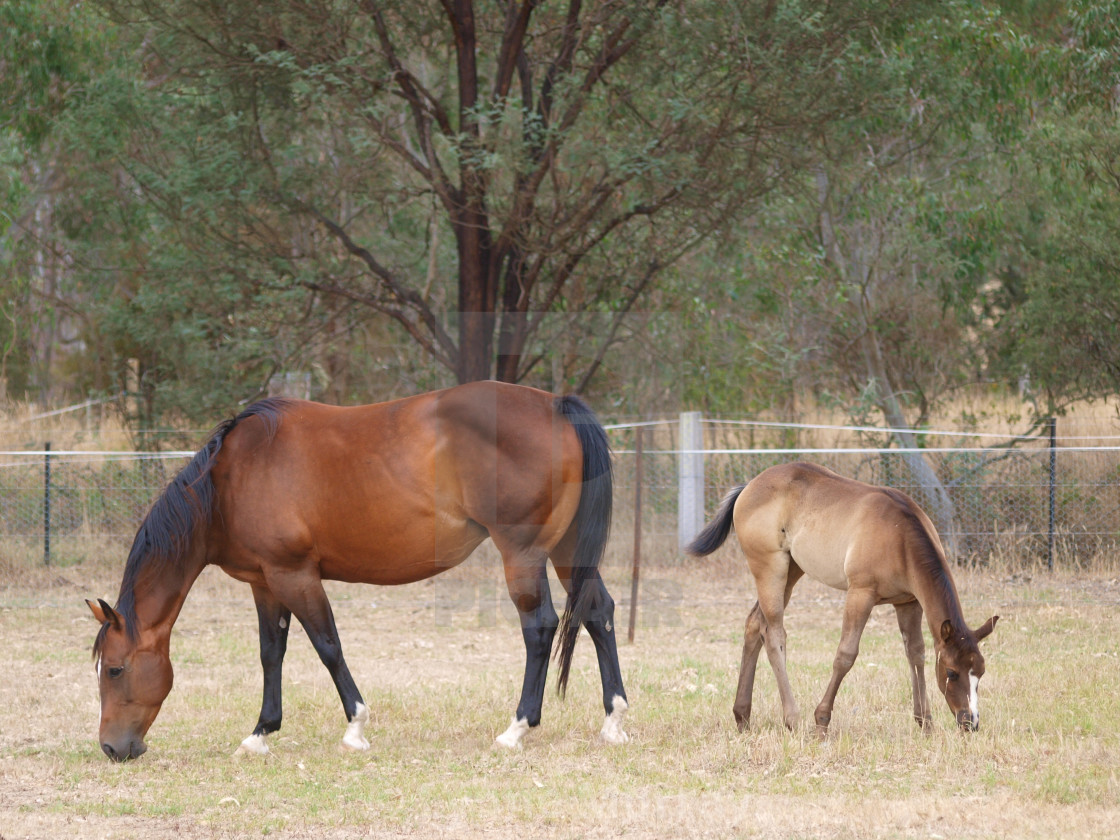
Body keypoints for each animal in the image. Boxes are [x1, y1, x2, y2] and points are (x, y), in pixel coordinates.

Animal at [85, 380, 631, 761]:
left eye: (114, 669)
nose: (112, 748)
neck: (229, 480)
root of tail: (556, 404)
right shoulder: (266, 583)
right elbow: (271, 654)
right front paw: (260, 733)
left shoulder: (295, 575)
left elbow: (328, 647)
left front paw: (355, 728)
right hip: (567, 553)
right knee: (598, 613)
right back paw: (614, 720)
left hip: (523, 555)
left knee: (540, 628)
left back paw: (517, 728)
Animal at [689, 463, 999, 734]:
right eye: (952, 672)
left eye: (981, 672)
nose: (970, 722)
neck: (900, 536)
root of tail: (749, 486)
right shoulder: (860, 594)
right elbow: (845, 655)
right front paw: (821, 721)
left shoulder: (908, 602)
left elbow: (916, 654)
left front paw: (925, 723)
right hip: (770, 569)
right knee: (774, 633)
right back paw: (792, 718)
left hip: (792, 569)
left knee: (754, 624)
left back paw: (742, 716)